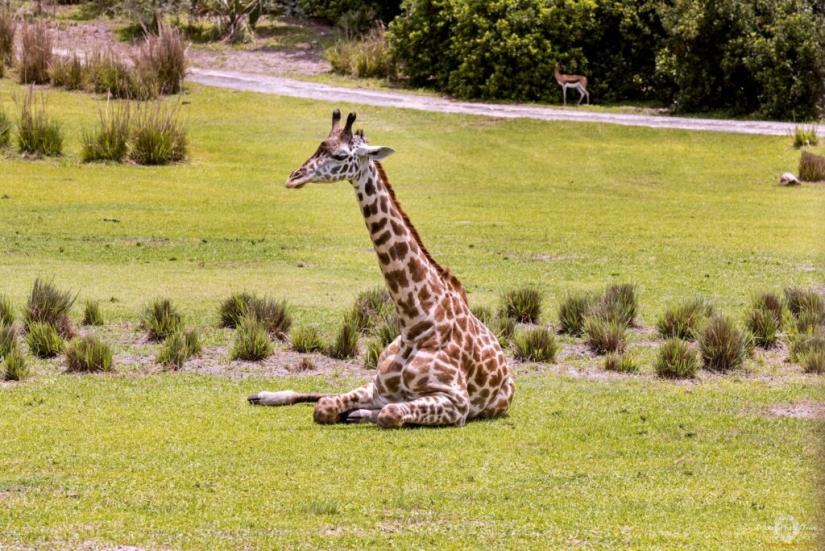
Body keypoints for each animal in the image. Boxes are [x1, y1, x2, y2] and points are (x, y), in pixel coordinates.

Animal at [248, 110, 515, 429]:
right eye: (318, 146)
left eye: (340, 155)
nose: (293, 178)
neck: (416, 323)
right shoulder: (378, 386)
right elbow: (325, 406)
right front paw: (349, 411)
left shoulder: (457, 402)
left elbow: (389, 413)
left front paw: (361, 414)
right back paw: (264, 395)